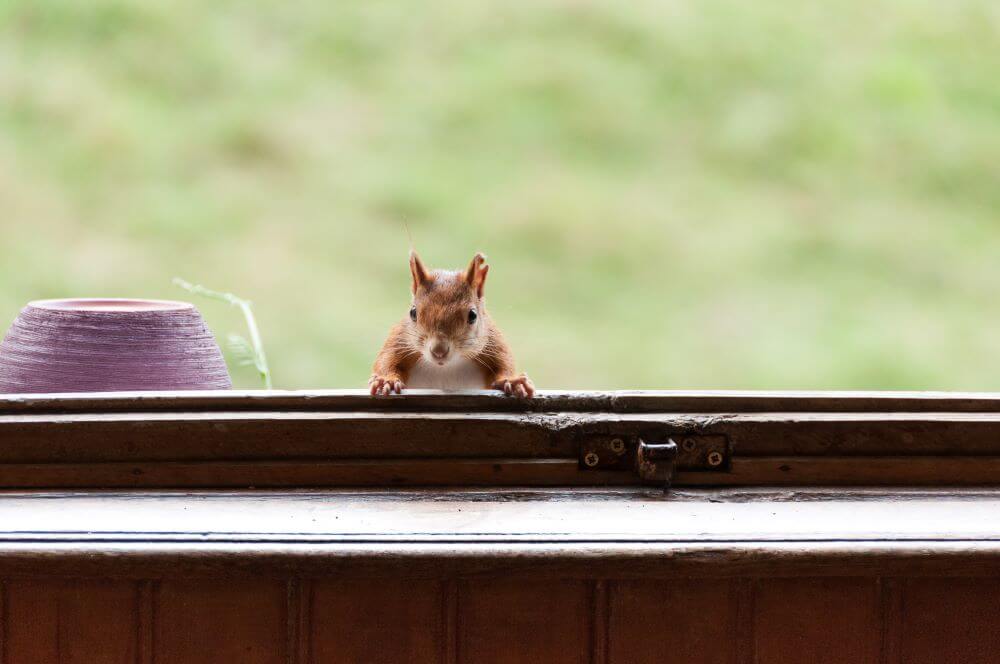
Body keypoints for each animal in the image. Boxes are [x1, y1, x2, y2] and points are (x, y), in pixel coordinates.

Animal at [369, 251, 535, 398]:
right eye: (413, 312)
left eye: (473, 315)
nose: (439, 351)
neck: (447, 367)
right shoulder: (399, 340)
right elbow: (386, 360)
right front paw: (386, 381)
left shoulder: (492, 342)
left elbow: (504, 363)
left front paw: (512, 381)